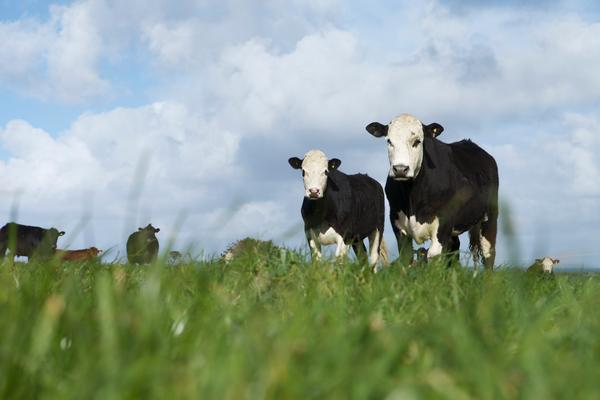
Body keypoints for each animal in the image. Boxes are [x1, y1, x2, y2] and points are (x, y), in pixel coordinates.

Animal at [366, 113, 502, 268]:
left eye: (417, 141)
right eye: (389, 141)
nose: (400, 169)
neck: (412, 196)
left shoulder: (443, 223)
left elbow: (434, 256)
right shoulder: (396, 221)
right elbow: (406, 257)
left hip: (490, 217)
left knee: (488, 253)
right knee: (454, 250)